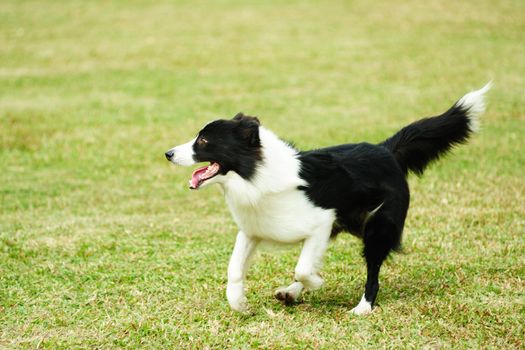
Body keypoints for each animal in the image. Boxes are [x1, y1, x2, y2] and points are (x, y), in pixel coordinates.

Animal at [165, 83, 492, 316]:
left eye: (204, 141)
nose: (168, 153)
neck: (254, 174)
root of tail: (385, 149)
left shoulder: (321, 222)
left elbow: (303, 267)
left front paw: (317, 283)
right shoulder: (253, 230)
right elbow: (234, 269)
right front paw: (240, 304)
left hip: (378, 227)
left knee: (372, 269)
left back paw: (363, 307)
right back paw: (290, 292)